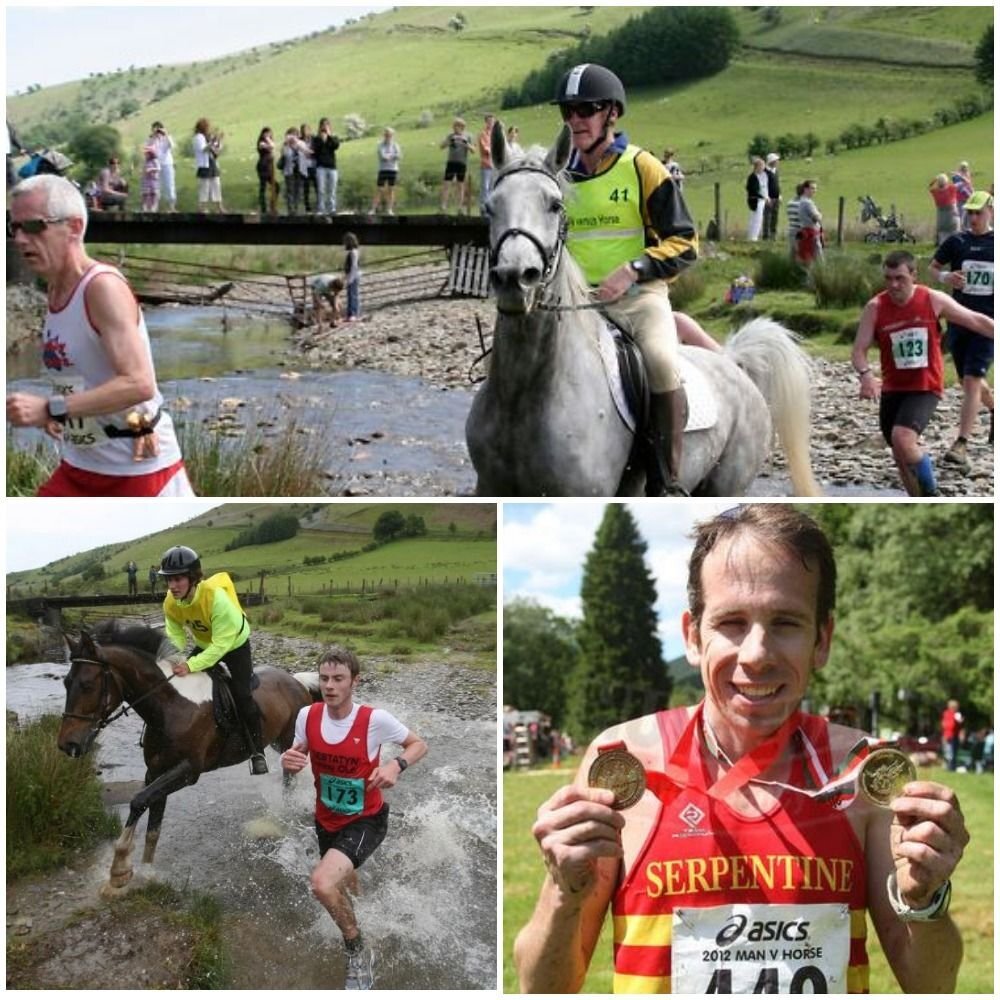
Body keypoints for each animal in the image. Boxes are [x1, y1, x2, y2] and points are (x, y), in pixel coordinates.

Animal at [57, 620, 320, 896]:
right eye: (66, 683)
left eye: (87, 685)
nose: (67, 744)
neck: (170, 707)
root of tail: (296, 680)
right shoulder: (156, 771)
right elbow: (153, 825)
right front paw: (146, 871)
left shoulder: (187, 771)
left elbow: (138, 801)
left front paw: (119, 870)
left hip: (288, 741)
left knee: (291, 777)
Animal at [466, 123, 820, 498]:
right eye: (490, 206)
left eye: (554, 204)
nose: (515, 278)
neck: (528, 392)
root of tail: (734, 363)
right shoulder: (489, 486)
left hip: (724, 486)